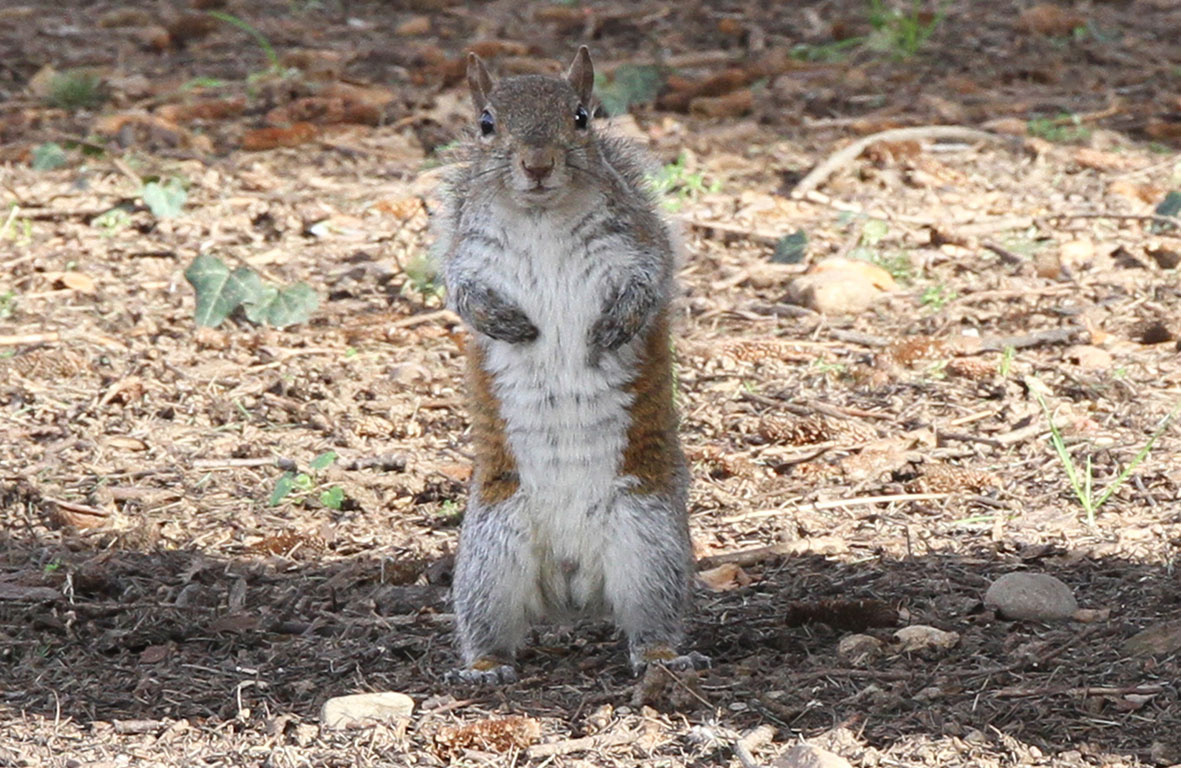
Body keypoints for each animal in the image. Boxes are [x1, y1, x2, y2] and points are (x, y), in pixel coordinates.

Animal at [432, 47, 708, 684]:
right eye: (486, 123)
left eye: (582, 117)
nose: (537, 164)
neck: (540, 216)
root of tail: (572, 588)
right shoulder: (469, 257)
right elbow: (461, 294)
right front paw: (504, 323)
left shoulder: (637, 242)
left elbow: (649, 281)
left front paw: (615, 327)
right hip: (489, 556)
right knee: (486, 625)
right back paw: (484, 667)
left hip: (649, 545)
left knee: (651, 621)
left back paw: (663, 658)